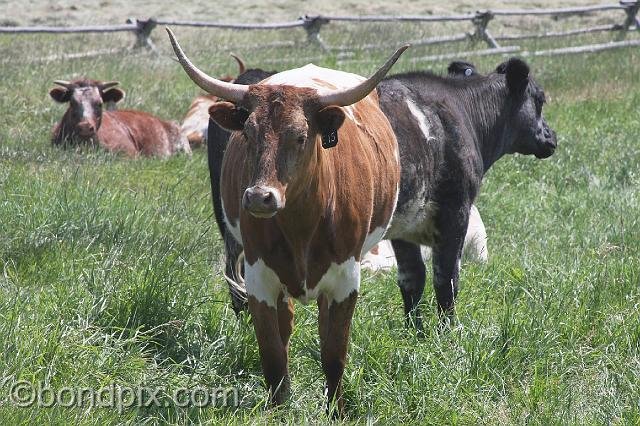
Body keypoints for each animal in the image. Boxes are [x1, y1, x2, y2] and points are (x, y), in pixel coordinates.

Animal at [168, 28, 408, 414]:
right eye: (248, 133)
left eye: (300, 136)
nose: (259, 197)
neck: (302, 227)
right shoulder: (258, 277)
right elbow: (273, 353)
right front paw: (279, 408)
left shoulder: (346, 278)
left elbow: (334, 354)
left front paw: (337, 411)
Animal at [378, 58, 556, 328]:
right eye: (540, 99)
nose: (551, 136)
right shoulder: (456, 211)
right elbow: (447, 278)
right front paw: (447, 332)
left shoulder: (404, 224)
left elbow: (412, 277)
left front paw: (415, 332)